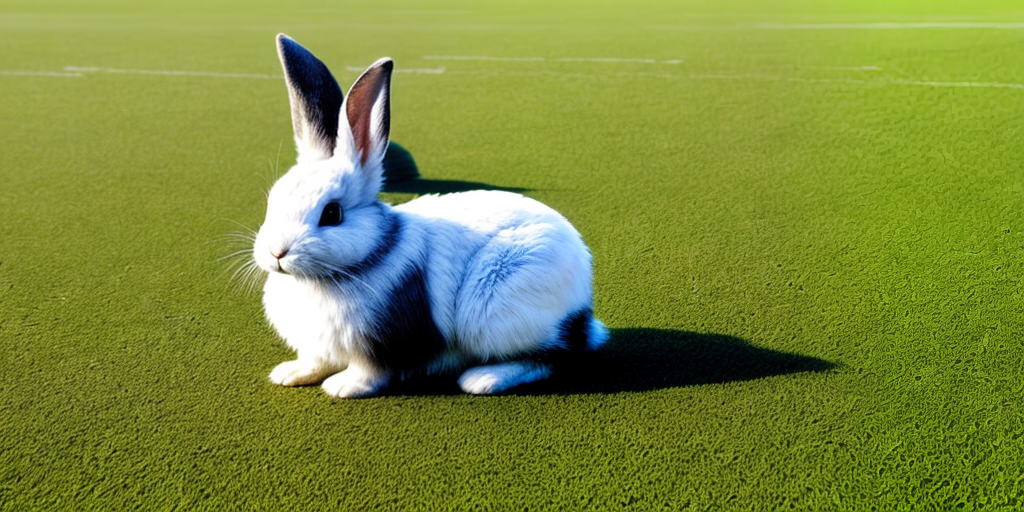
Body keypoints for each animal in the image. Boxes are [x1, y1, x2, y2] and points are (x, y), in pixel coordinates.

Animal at [253, 34, 608, 398]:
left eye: (332, 213)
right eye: (272, 200)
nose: (276, 252)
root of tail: (582, 309)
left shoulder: (382, 342)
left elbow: (371, 371)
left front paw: (343, 387)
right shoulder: (318, 346)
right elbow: (315, 360)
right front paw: (289, 373)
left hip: (500, 310)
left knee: (554, 356)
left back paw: (483, 378)